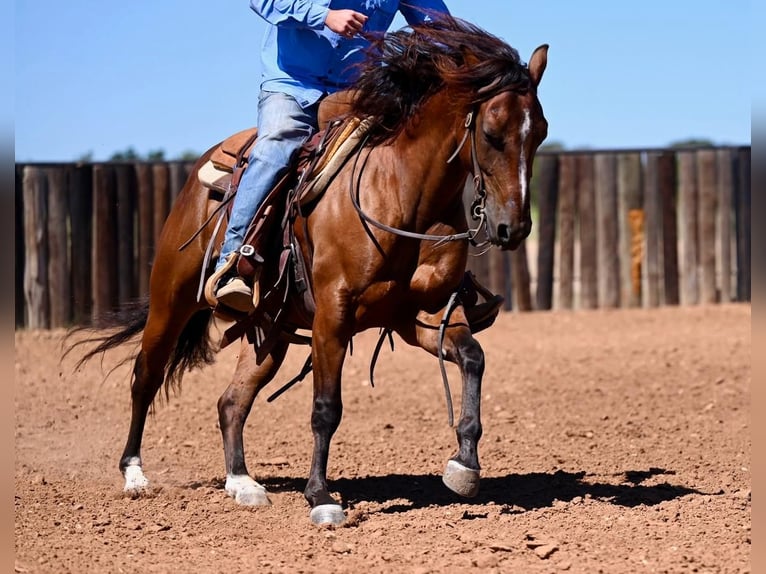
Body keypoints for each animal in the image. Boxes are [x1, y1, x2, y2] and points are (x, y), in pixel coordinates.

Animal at [75, 16, 548, 532]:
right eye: (492, 133)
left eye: (540, 133)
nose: (513, 227)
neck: (402, 192)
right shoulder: (333, 316)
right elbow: (326, 408)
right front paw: (321, 496)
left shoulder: (419, 316)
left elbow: (472, 358)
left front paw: (464, 465)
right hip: (172, 299)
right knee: (146, 377)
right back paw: (135, 476)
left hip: (271, 331)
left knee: (231, 401)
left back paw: (242, 483)